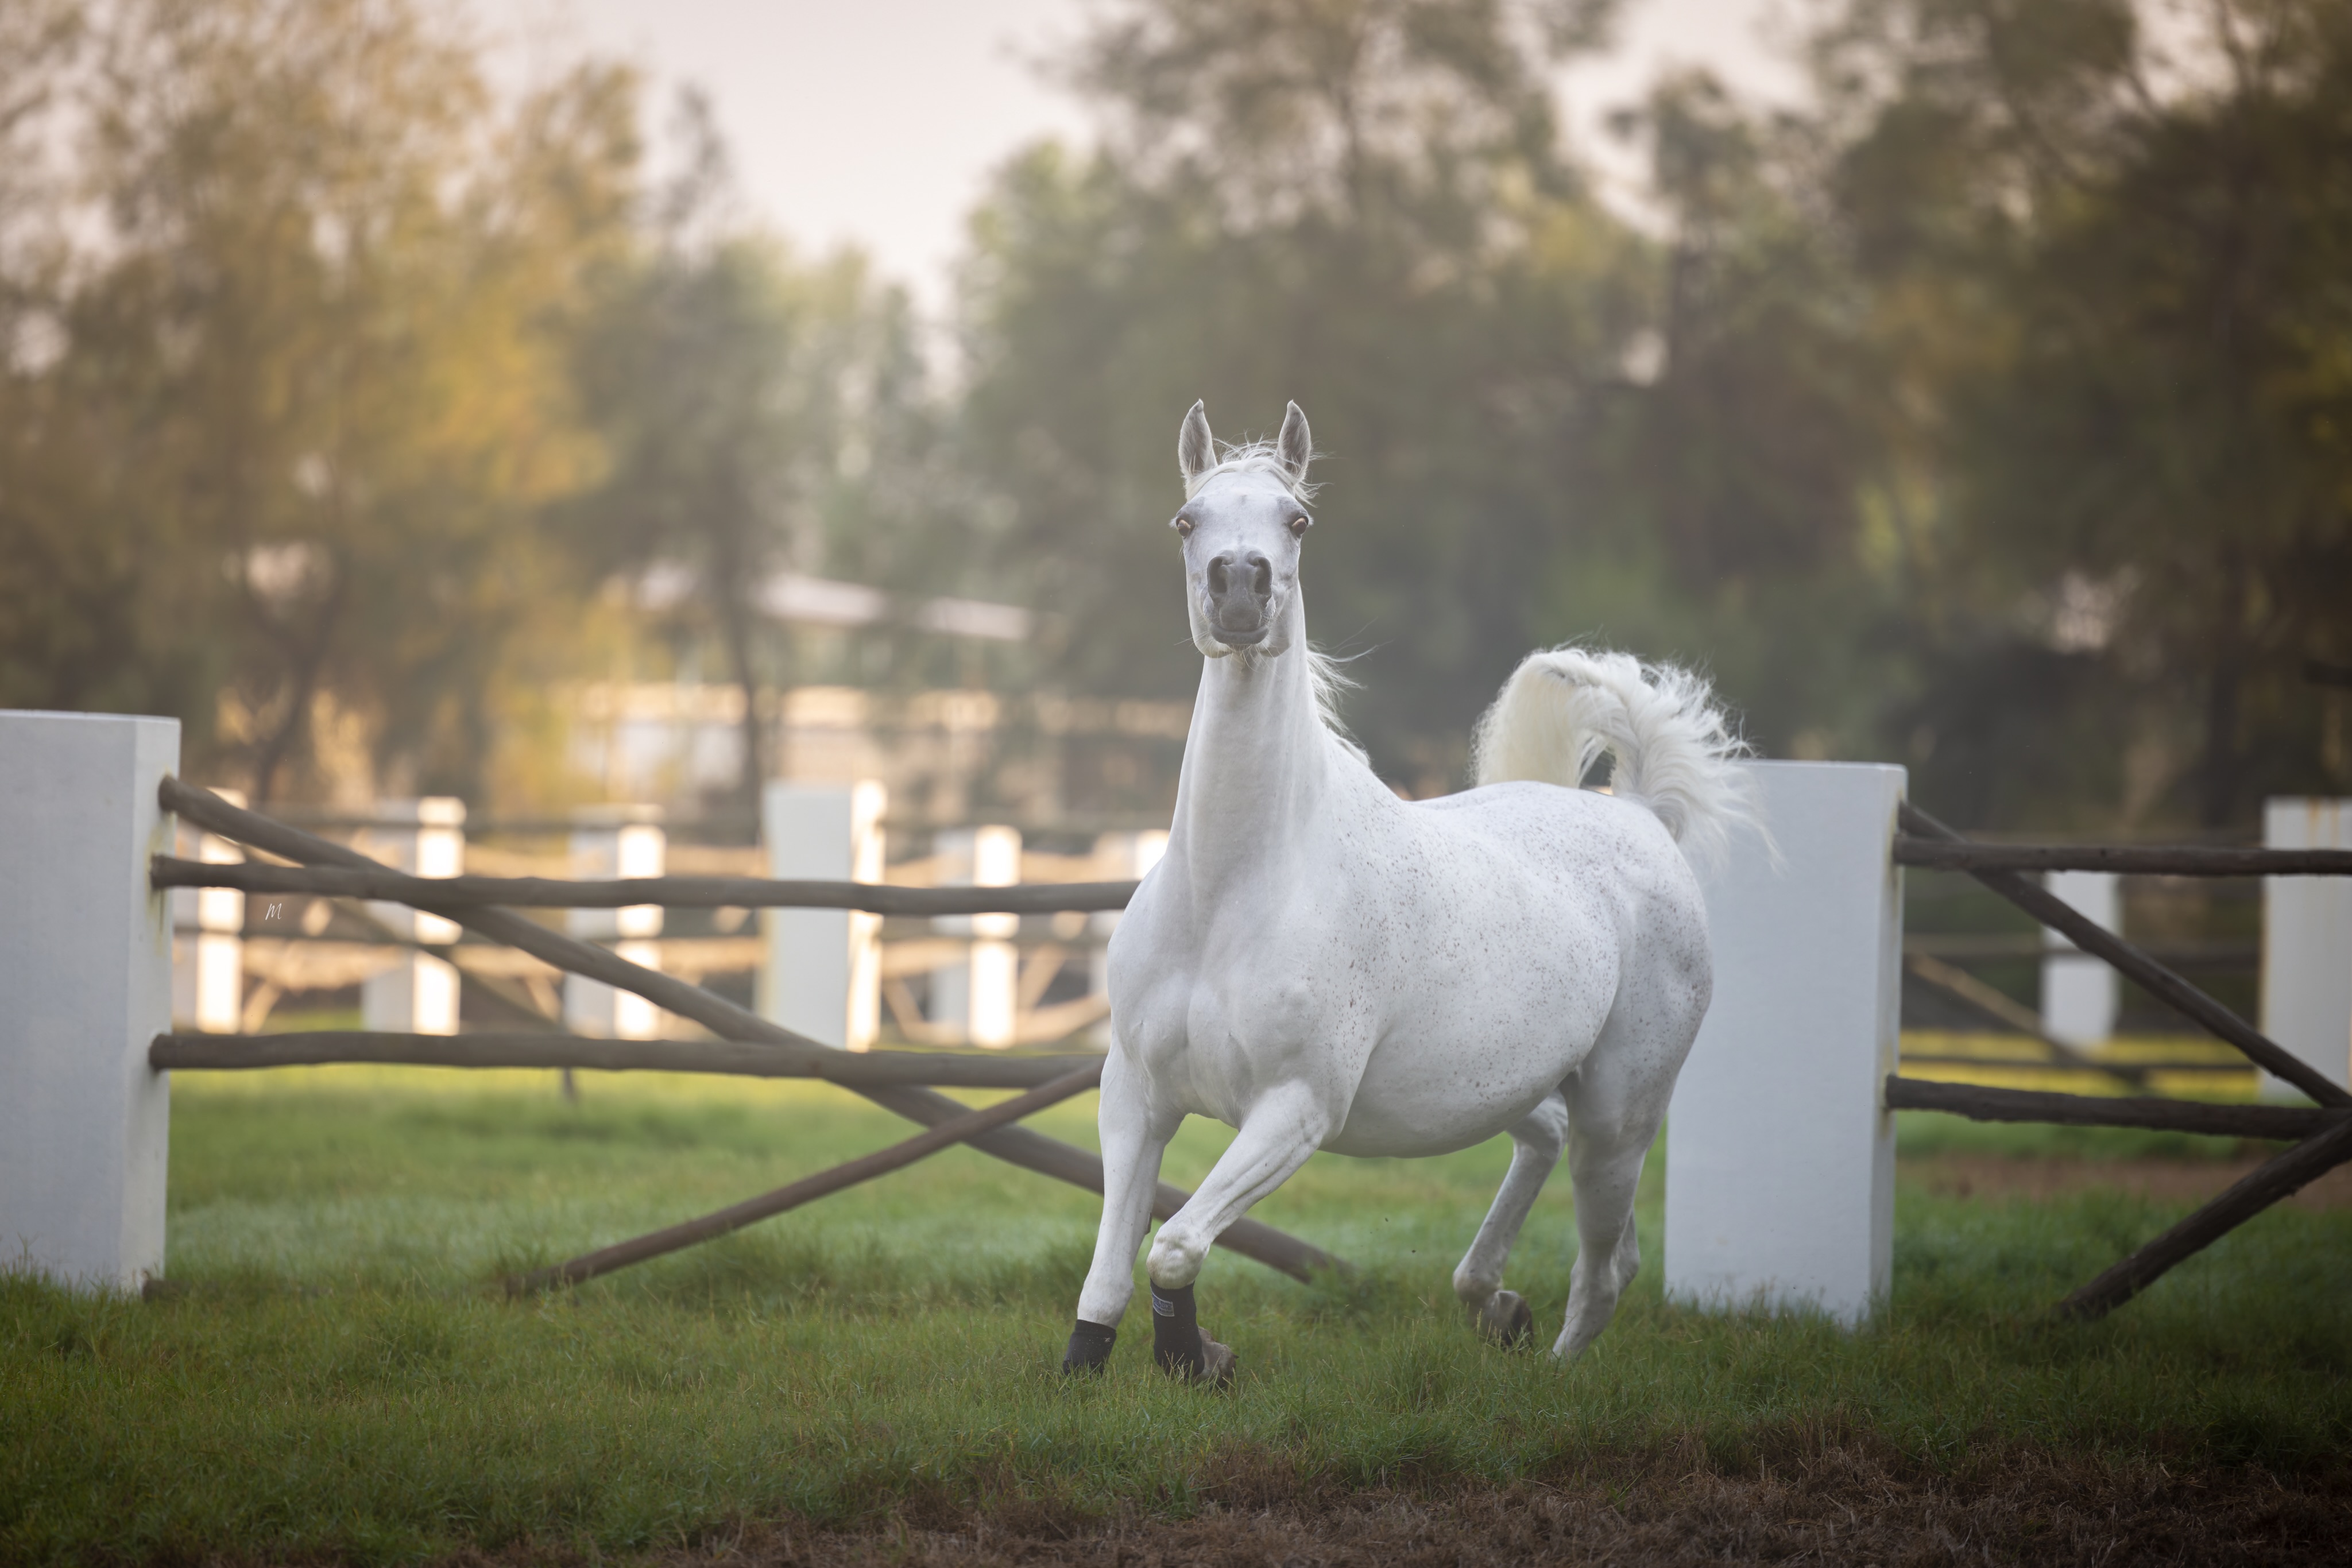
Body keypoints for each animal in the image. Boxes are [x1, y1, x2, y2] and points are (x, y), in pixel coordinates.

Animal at [1058, 400, 1751, 1384]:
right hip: (1528, 1084)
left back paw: (1552, 1367)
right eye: (1187, 521)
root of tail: (1643, 815)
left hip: (1620, 1116)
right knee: (1546, 1148)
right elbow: (1114, 1261)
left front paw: (1198, 1355)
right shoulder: (1135, 1095)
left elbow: (1177, 1244)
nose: (1240, 592)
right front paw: (1094, 1362)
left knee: (1607, 1261)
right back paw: (1494, 1301)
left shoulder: (1296, 1109)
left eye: (1297, 520)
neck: (1234, 892)